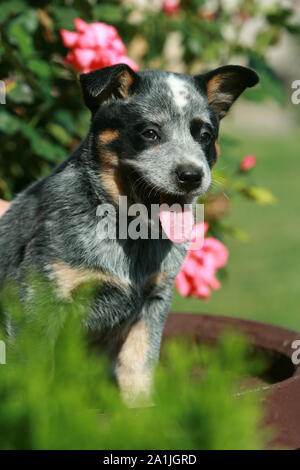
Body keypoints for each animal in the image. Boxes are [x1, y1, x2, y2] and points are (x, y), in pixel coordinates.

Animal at [0, 64, 258, 406]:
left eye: (204, 135)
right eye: (149, 133)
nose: (191, 176)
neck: (130, 236)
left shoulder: (153, 301)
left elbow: (138, 364)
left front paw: (142, 411)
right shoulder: (39, 299)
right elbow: (37, 370)